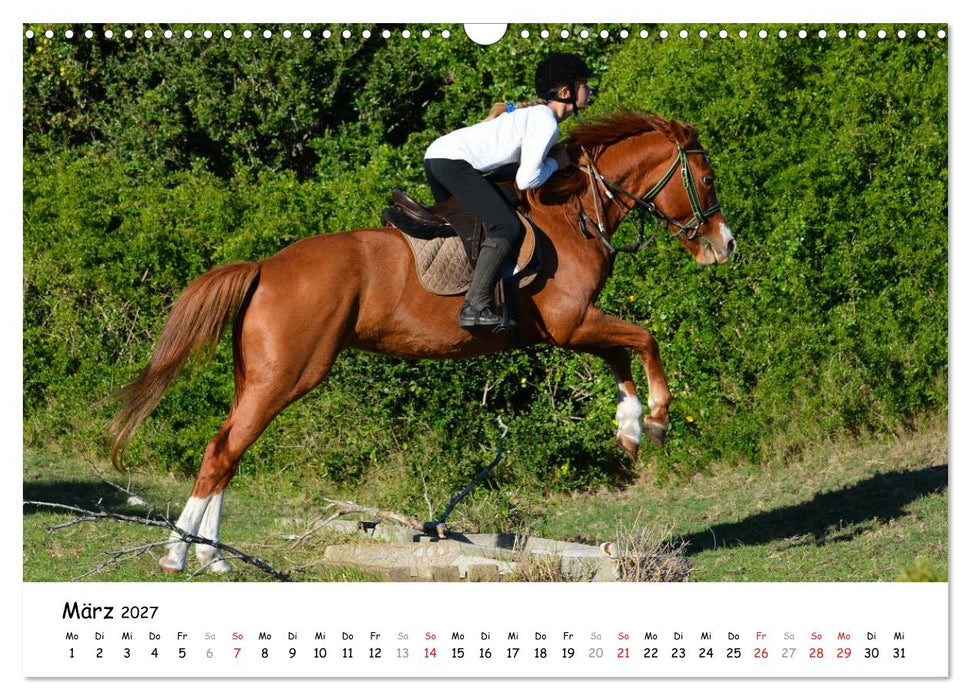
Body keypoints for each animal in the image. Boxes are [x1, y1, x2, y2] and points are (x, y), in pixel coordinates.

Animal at [109, 109, 736, 574]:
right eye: (706, 180)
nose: (725, 246)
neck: (576, 211)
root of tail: (265, 267)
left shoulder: (572, 327)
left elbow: (621, 354)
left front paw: (630, 428)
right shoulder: (571, 322)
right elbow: (645, 338)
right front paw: (656, 418)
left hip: (258, 377)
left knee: (228, 452)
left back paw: (210, 557)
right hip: (287, 376)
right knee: (223, 453)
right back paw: (177, 556)